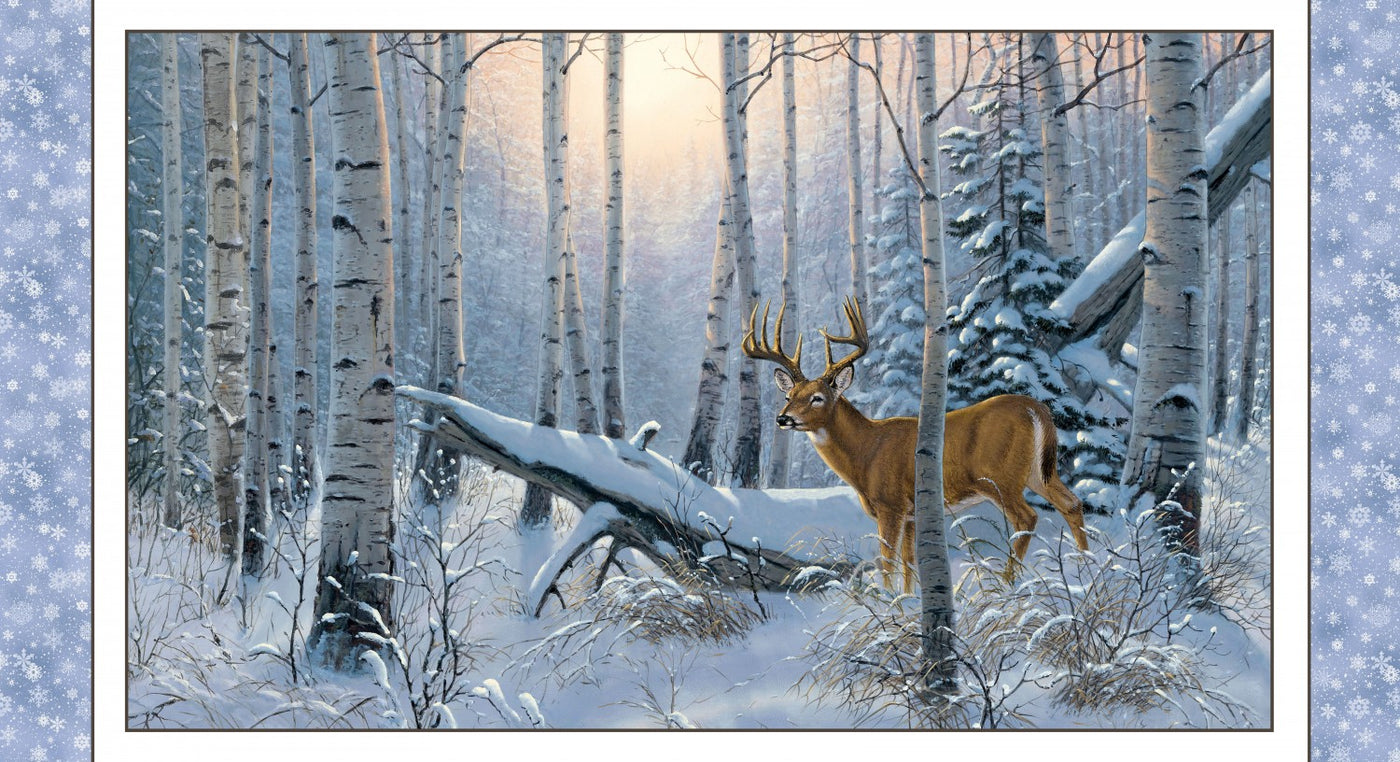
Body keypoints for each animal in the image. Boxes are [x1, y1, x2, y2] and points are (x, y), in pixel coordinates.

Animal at [742, 296, 1090, 593]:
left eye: (817, 398)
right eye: (789, 396)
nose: (783, 419)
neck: (865, 453)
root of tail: (1037, 408)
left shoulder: (891, 505)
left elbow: (887, 563)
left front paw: (889, 603)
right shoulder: (911, 514)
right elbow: (910, 565)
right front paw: (909, 601)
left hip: (1001, 477)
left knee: (1027, 518)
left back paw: (1008, 584)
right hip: (1039, 472)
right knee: (1072, 503)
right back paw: (1088, 569)